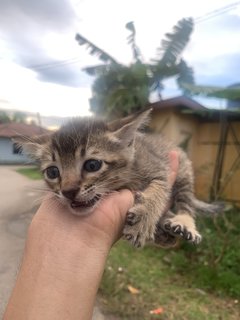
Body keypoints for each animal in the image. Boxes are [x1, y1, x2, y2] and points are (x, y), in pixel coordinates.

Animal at [16, 110, 223, 248]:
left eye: (92, 165)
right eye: (52, 172)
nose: (68, 192)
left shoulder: (160, 169)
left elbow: (159, 191)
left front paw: (143, 219)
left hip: (184, 172)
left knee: (186, 202)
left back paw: (184, 223)